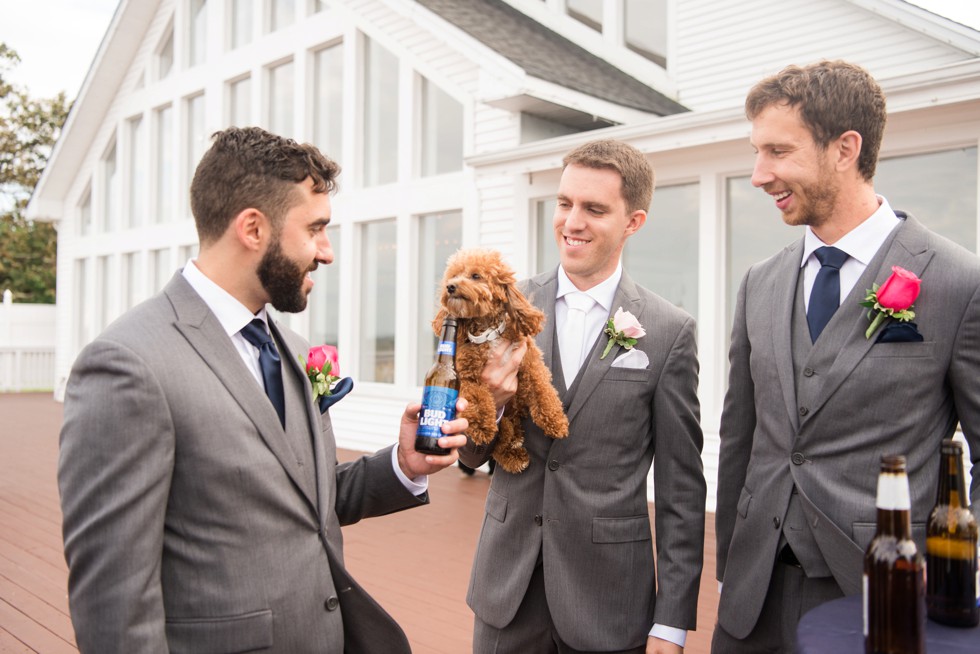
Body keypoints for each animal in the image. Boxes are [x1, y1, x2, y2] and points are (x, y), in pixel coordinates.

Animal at [434, 249, 572, 474]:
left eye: (475, 276)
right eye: (453, 276)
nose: (450, 286)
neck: (488, 334)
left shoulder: (530, 363)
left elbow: (543, 390)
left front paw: (556, 421)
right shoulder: (466, 377)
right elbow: (478, 398)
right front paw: (482, 427)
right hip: (506, 421)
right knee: (501, 443)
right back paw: (514, 455)